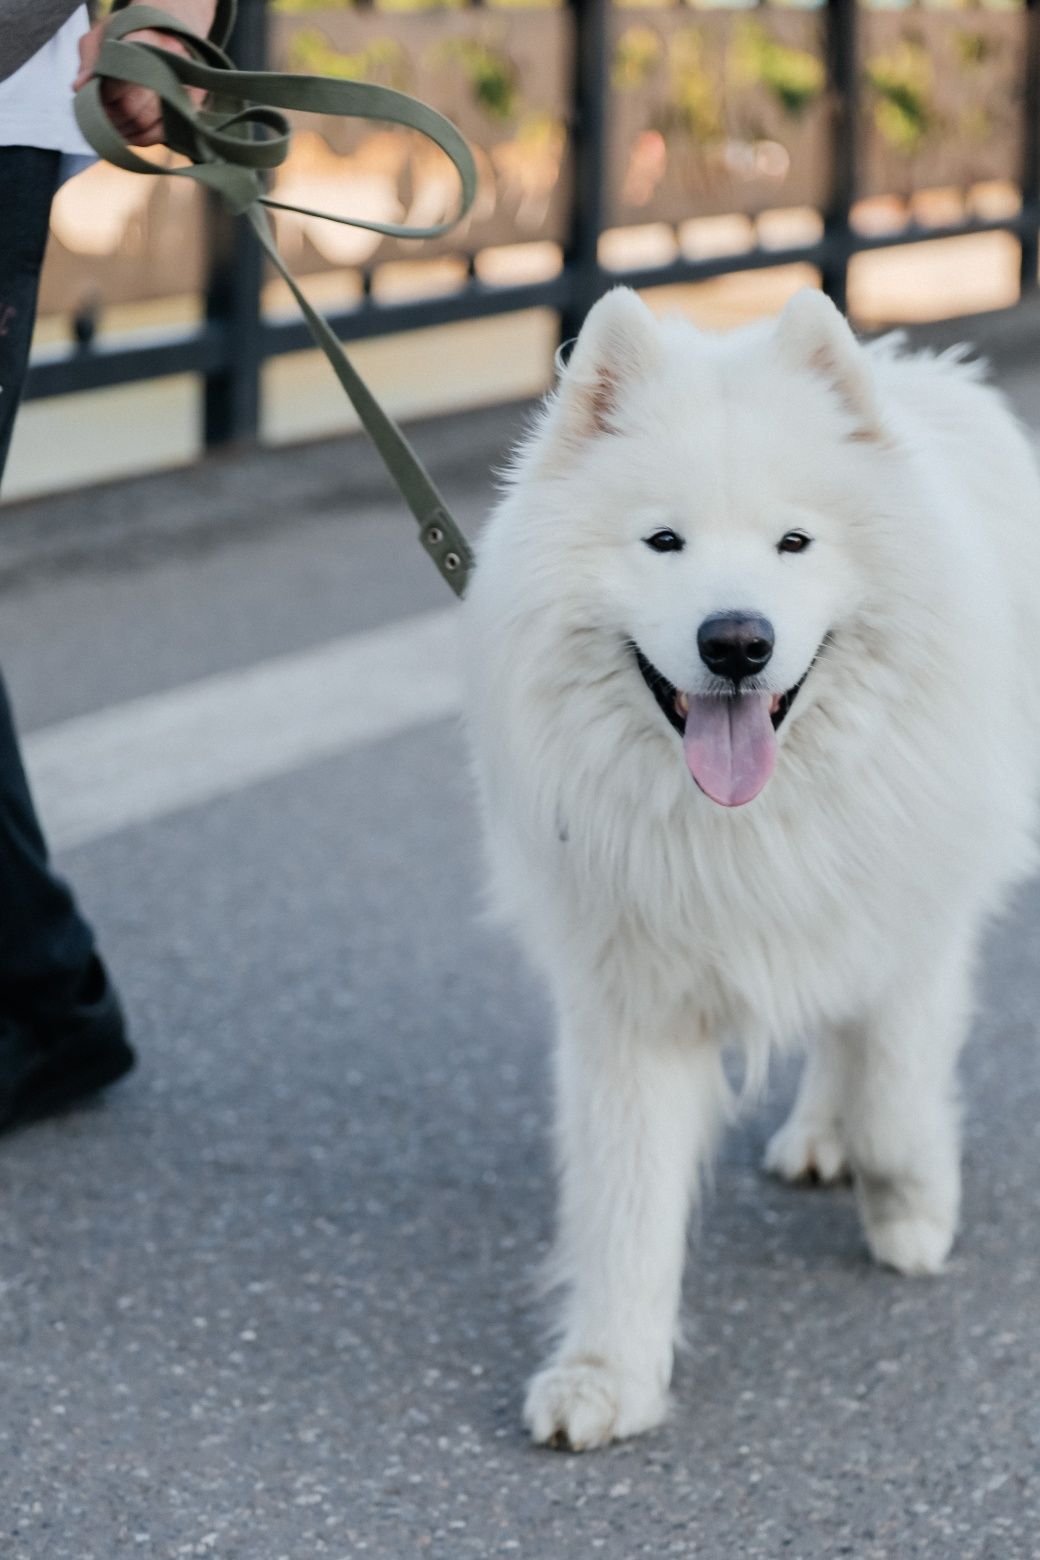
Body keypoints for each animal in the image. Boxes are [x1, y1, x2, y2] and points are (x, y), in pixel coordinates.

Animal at [458, 283, 1040, 1447]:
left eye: (794, 542)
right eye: (663, 541)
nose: (736, 641)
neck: (742, 820)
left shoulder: (906, 926)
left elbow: (893, 1093)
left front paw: (912, 1208)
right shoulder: (629, 1000)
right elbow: (625, 1202)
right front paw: (610, 1376)